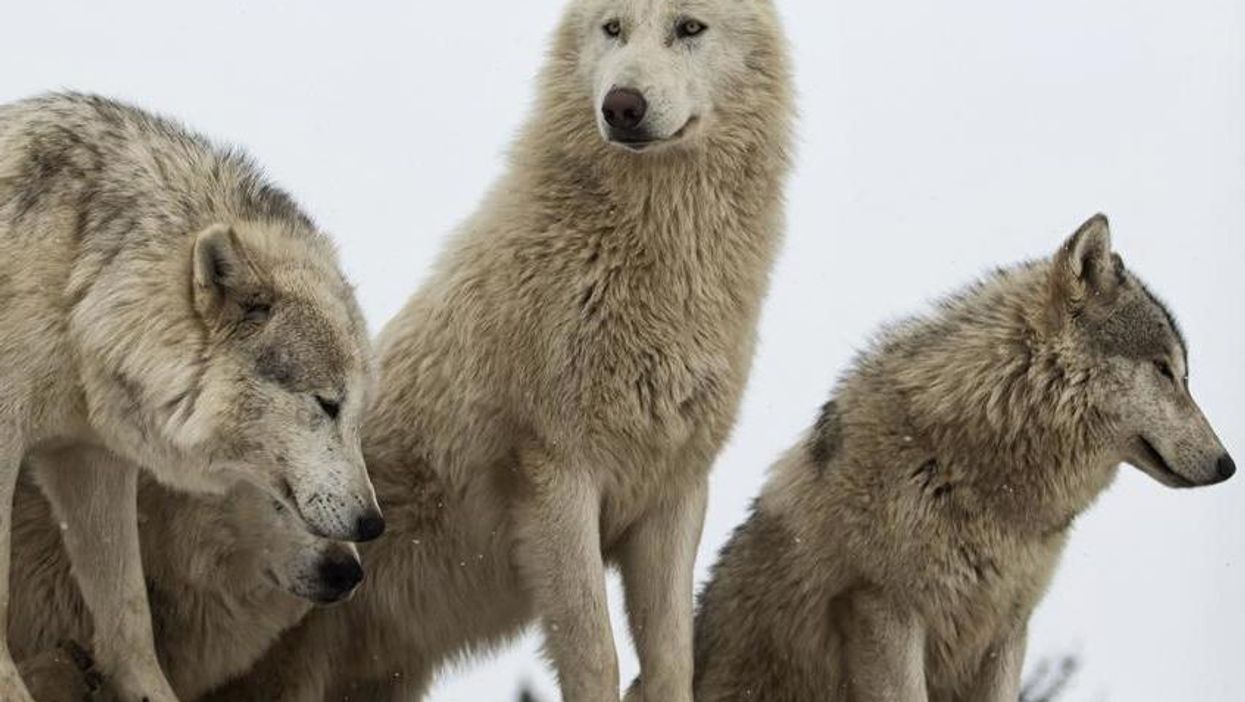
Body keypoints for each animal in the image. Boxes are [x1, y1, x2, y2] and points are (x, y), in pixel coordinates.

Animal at [205, 1, 793, 700]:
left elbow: (672, 662)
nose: (621, 105)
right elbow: (596, 656)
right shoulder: (557, 477)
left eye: (689, 28)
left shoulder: (675, 490)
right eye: (614, 29)